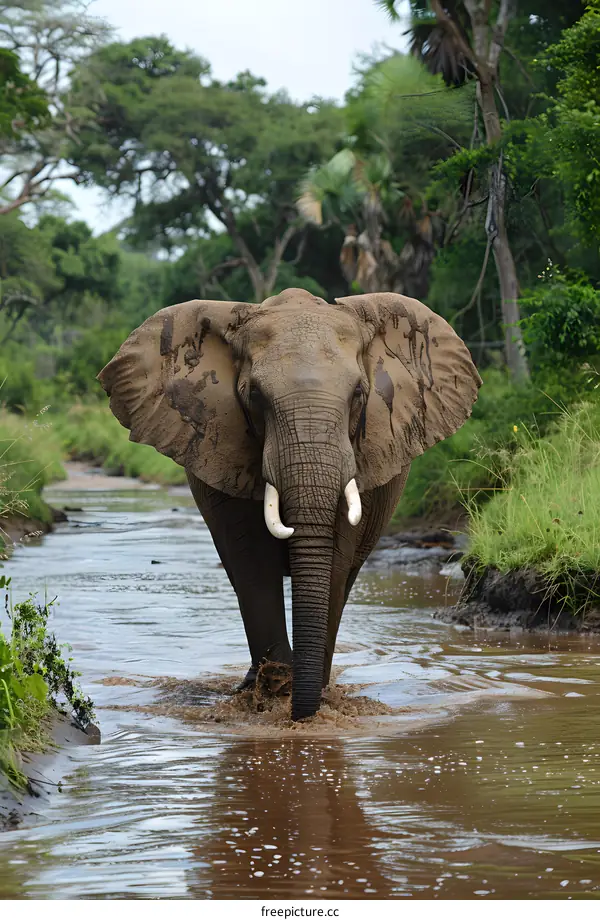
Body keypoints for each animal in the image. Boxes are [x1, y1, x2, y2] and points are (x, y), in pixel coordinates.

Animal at [98, 288, 481, 721]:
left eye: (359, 395)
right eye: (254, 396)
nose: (301, 710)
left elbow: (334, 557)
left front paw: (308, 695)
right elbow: (253, 561)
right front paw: (271, 693)